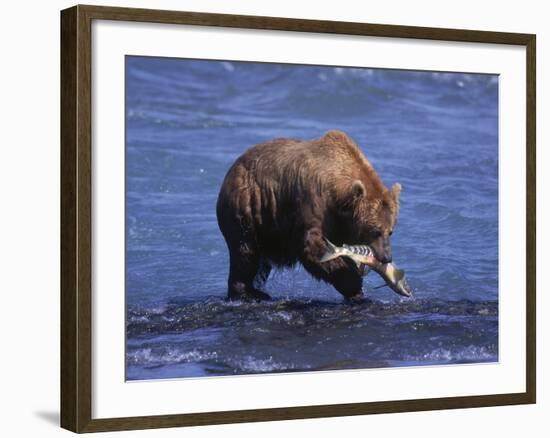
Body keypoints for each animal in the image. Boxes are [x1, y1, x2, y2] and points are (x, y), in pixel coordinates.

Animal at [218, 130, 404, 302]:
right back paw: (248, 292)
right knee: (245, 252)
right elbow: (311, 245)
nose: (387, 257)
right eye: (375, 230)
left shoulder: (341, 223)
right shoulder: (312, 200)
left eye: (390, 231)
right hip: (248, 206)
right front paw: (354, 284)